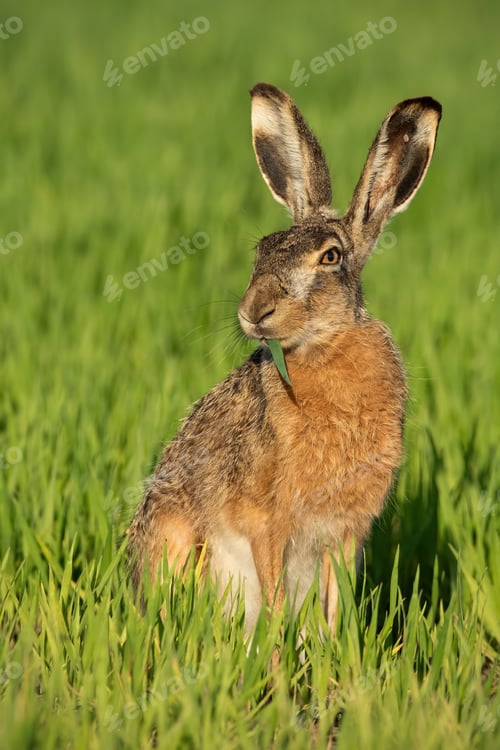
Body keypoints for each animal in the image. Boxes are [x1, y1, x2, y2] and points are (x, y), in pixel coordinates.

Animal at [127, 83, 441, 633]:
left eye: (331, 257)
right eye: (263, 250)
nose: (253, 312)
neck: (324, 345)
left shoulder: (345, 532)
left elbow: (335, 608)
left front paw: (336, 652)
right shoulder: (266, 524)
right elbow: (273, 604)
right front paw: (276, 653)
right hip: (174, 536)